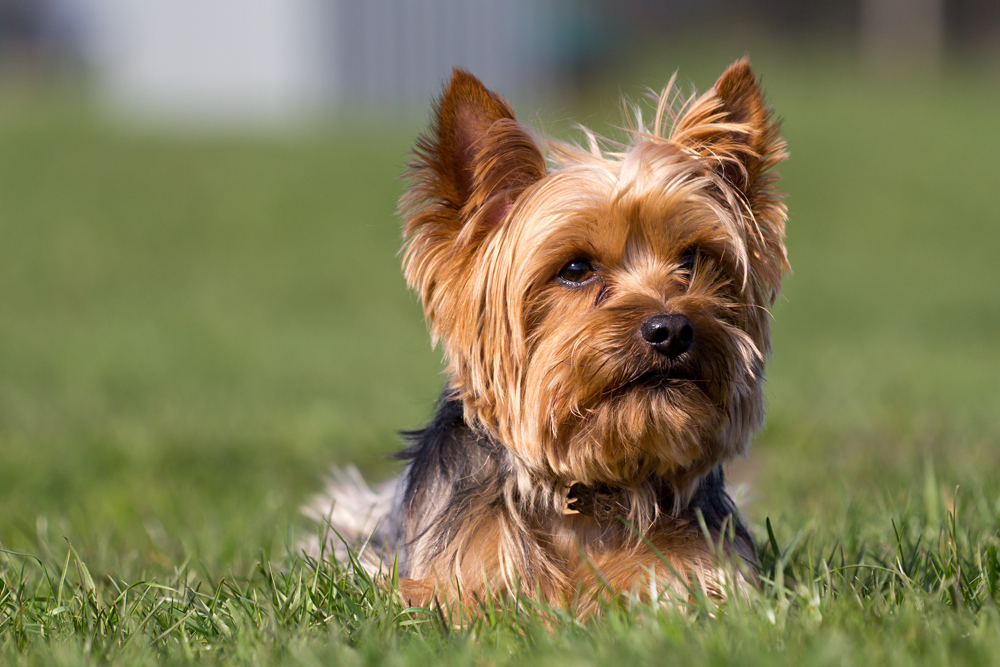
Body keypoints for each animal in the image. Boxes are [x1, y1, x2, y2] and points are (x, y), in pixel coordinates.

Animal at [304, 58, 788, 616]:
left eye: (693, 259)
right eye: (575, 268)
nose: (671, 329)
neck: (591, 495)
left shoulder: (700, 565)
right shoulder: (458, 573)